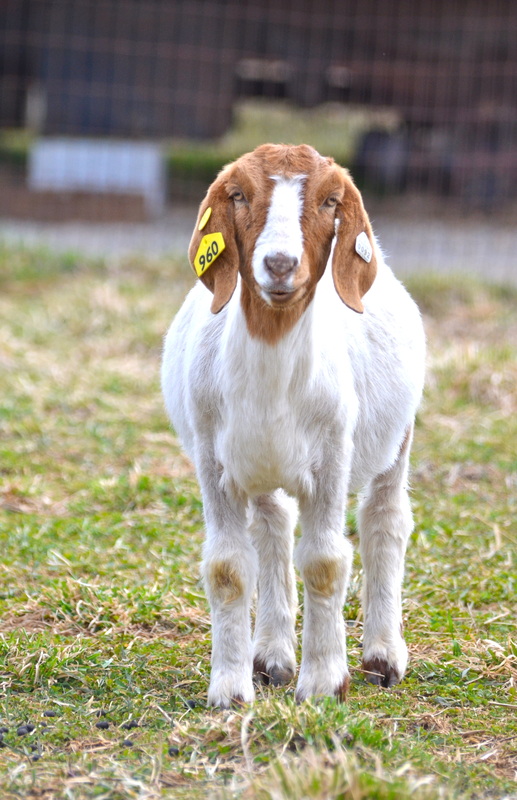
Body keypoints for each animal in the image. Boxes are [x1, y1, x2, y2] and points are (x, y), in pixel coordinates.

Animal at [161, 144, 424, 708]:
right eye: (238, 195)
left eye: (329, 200)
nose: (279, 264)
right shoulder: (214, 464)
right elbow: (228, 566)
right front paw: (230, 690)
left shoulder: (332, 458)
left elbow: (325, 561)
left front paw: (324, 683)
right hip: (261, 465)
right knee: (274, 526)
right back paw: (272, 657)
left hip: (398, 438)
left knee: (385, 519)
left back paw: (382, 656)